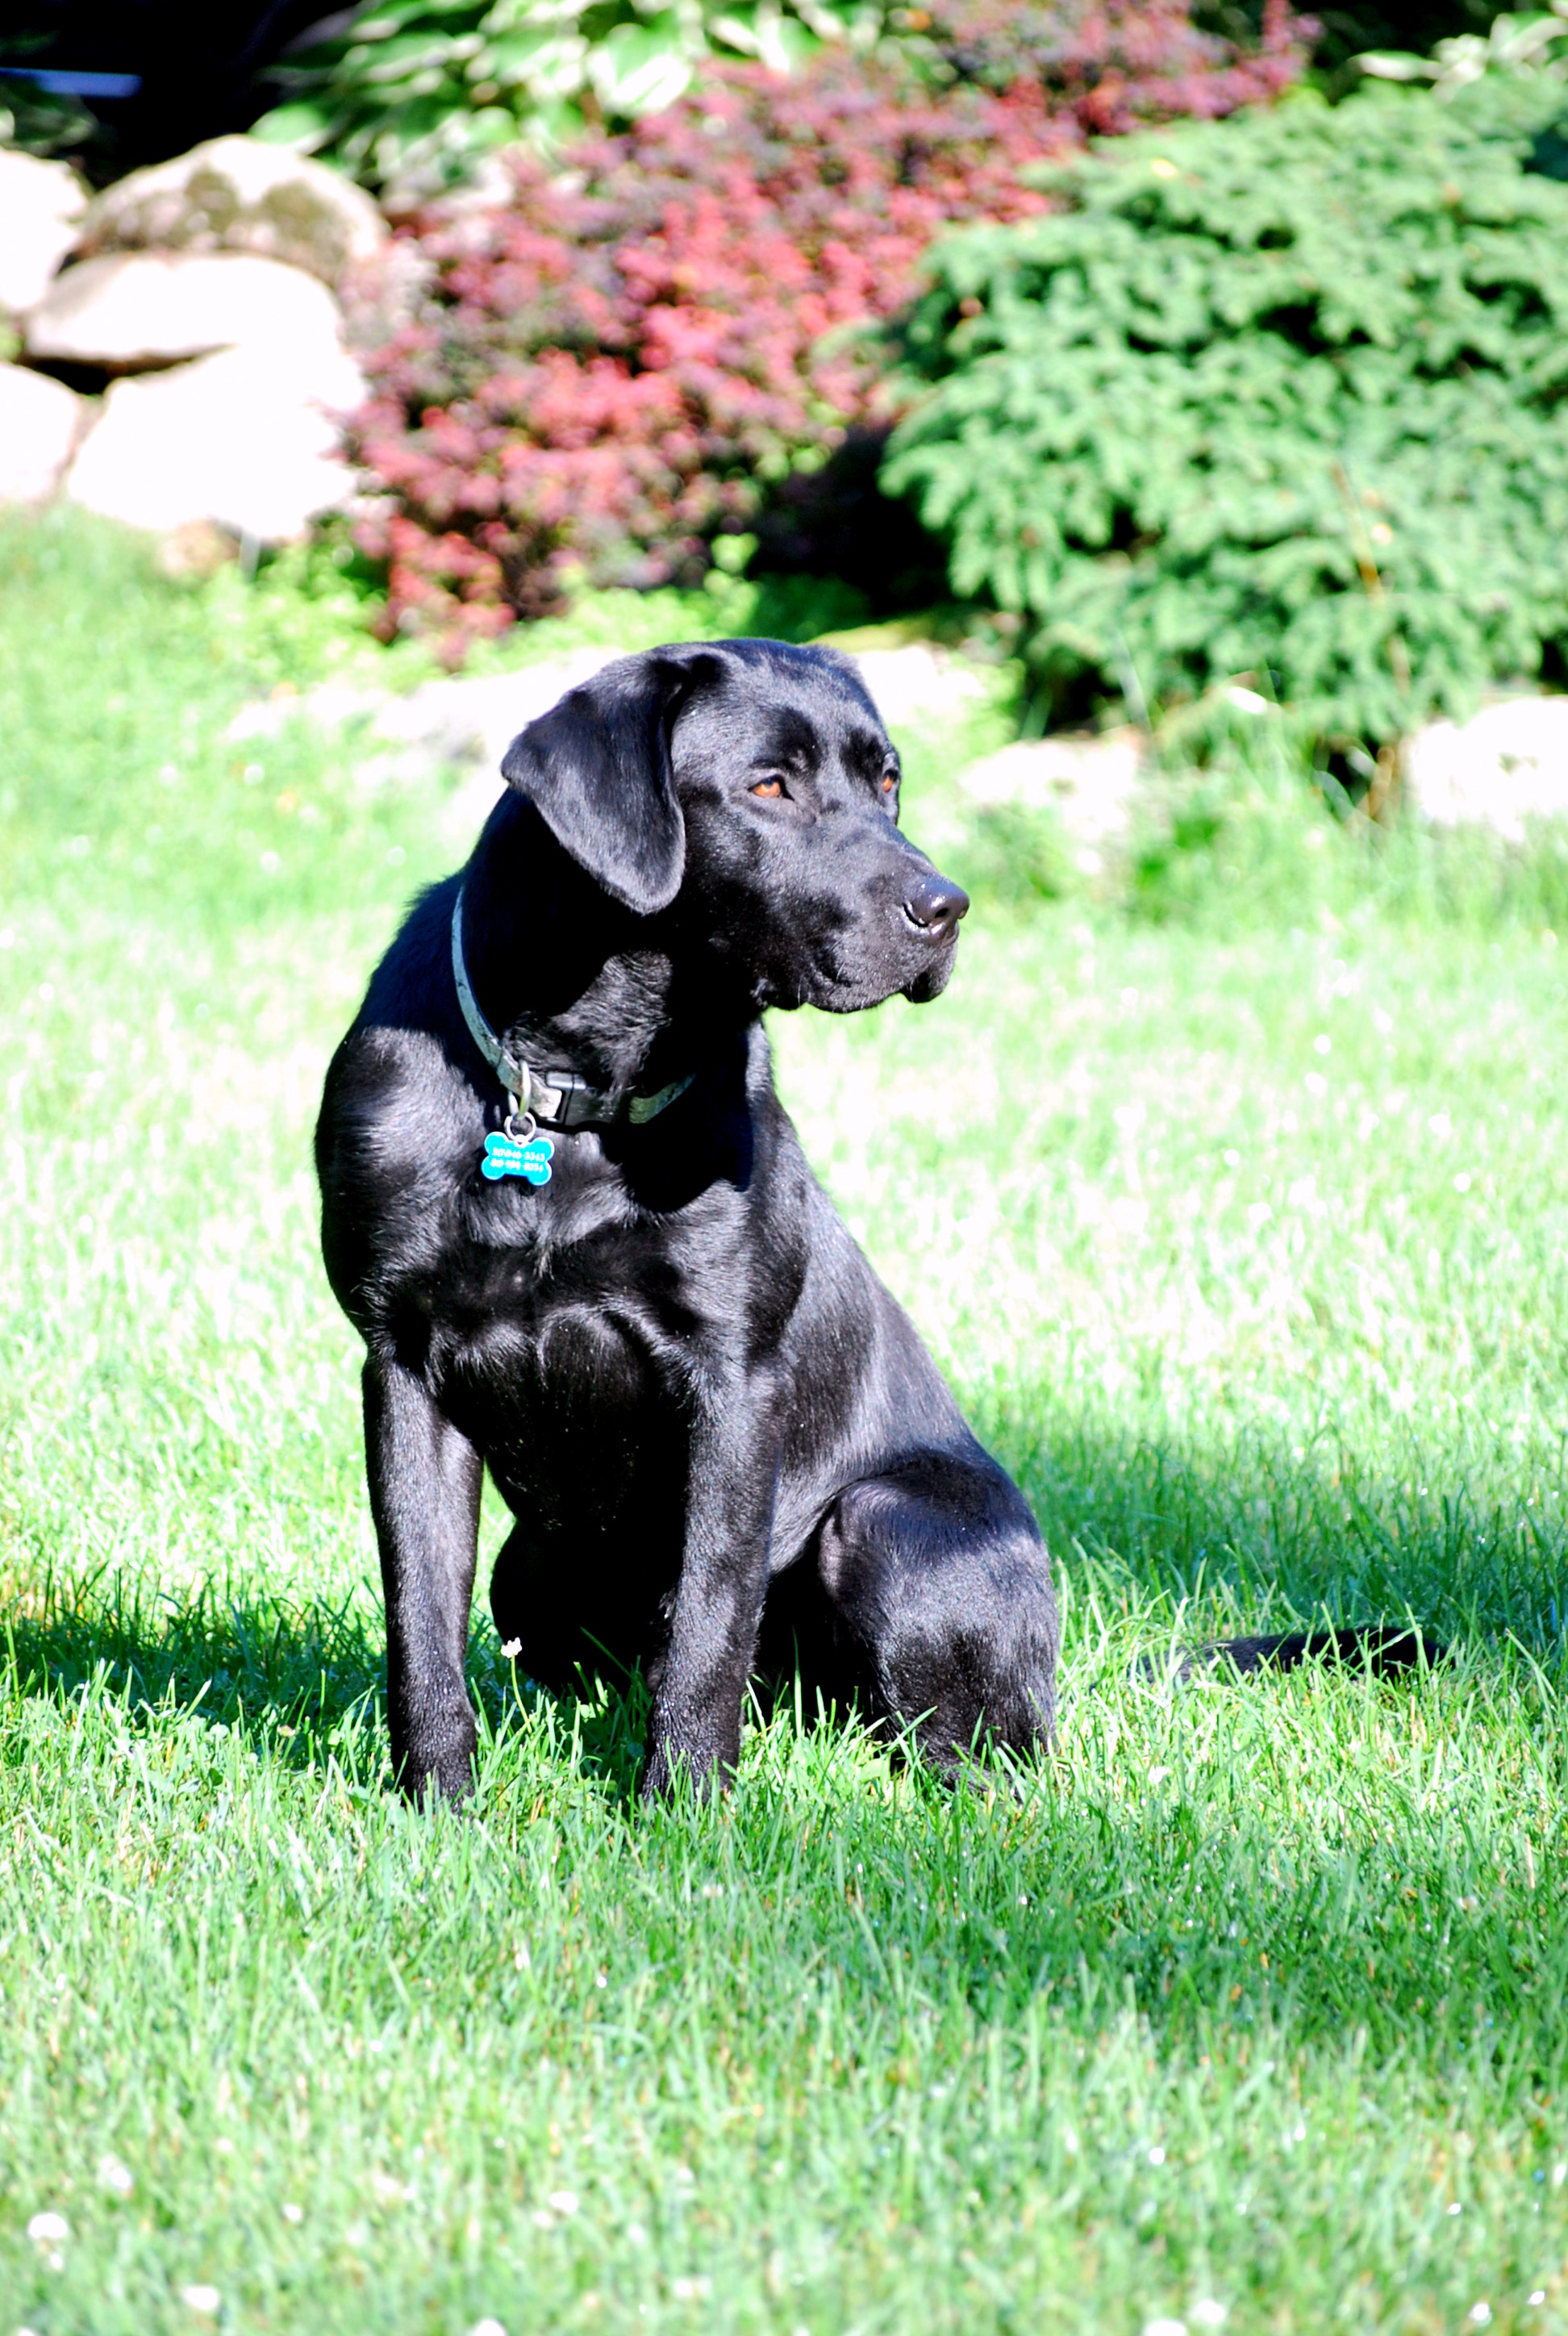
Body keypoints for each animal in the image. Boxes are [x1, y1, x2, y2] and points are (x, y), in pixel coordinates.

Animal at [313, 630, 1061, 1794]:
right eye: (769, 785)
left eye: (887, 781)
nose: (946, 908)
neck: (574, 1094)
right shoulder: (402, 1360)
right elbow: (419, 1623)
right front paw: (436, 1802)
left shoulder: (732, 1383)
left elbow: (710, 1620)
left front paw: (686, 1808)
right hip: (532, 1565)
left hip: (887, 1523)